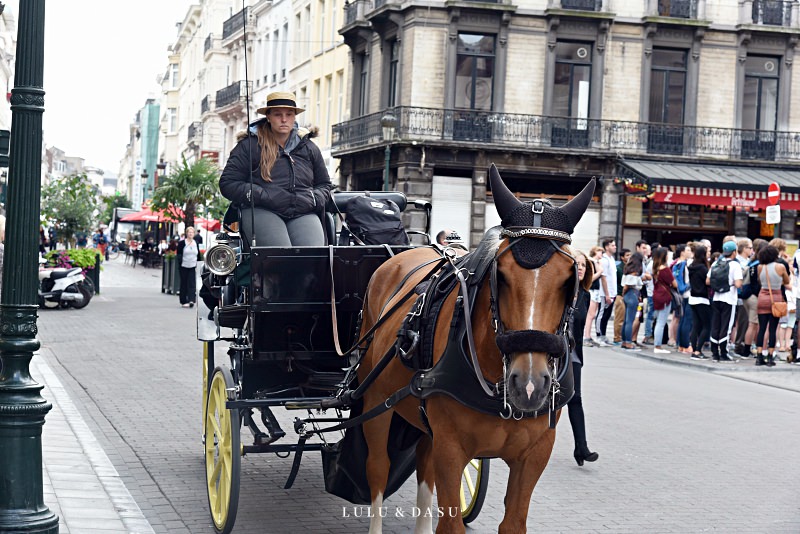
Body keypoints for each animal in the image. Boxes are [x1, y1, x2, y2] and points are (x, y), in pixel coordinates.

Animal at [356, 165, 592, 532]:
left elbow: (513, 523)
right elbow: (450, 523)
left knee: (424, 467)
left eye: (570, 278)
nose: (529, 385)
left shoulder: (535, 455)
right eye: (502, 275)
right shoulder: (452, 451)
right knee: (378, 469)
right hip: (375, 403)